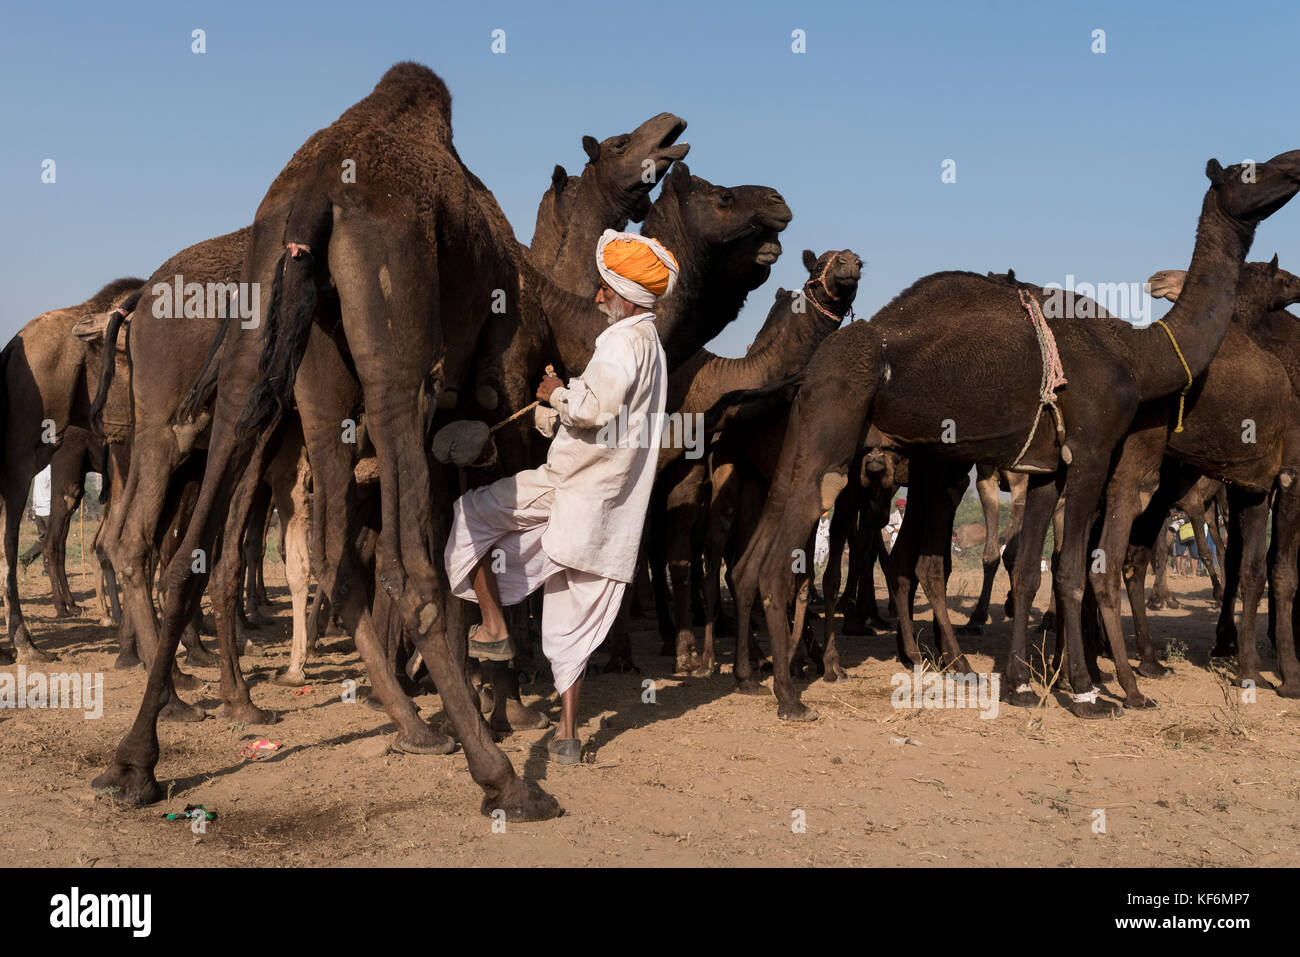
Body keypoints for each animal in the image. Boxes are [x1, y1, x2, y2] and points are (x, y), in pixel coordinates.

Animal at [728, 151, 1300, 717]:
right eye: (1251, 170)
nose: (1294, 165)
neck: (1139, 355)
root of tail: (815, 366)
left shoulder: (1046, 467)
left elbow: (1028, 568)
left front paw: (1021, 685)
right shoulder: (1092, 451)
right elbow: (1071, 571)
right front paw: (1091, 691)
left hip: (814, 436)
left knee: (769, 554)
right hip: (838, 428)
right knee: (789, 560)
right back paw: (790, 692)